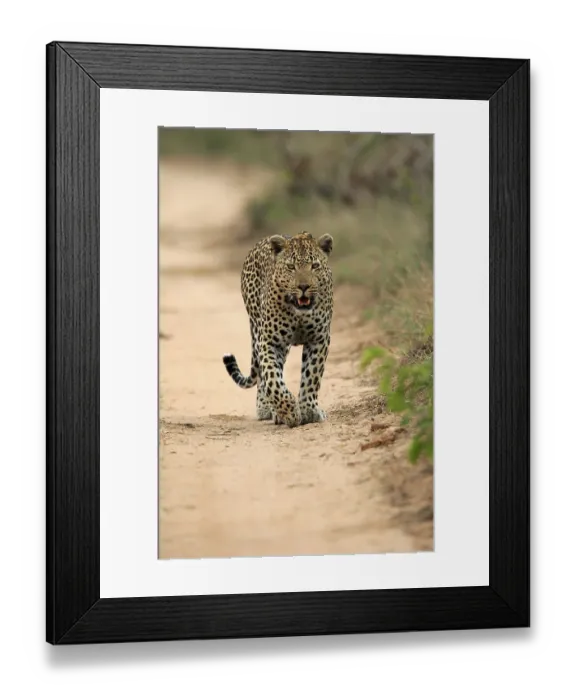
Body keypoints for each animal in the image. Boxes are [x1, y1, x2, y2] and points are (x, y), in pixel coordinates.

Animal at [223, 231, 334, 428]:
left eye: (315, 266)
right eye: (291, 267)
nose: (303, 287)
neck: (299, 313)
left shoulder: (319, 339)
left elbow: (312, 375)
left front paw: (309, 410)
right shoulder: (269, 342)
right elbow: (273, 378)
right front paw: (289, 412)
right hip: (258, 331)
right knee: (262, 376)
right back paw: (266, 408)